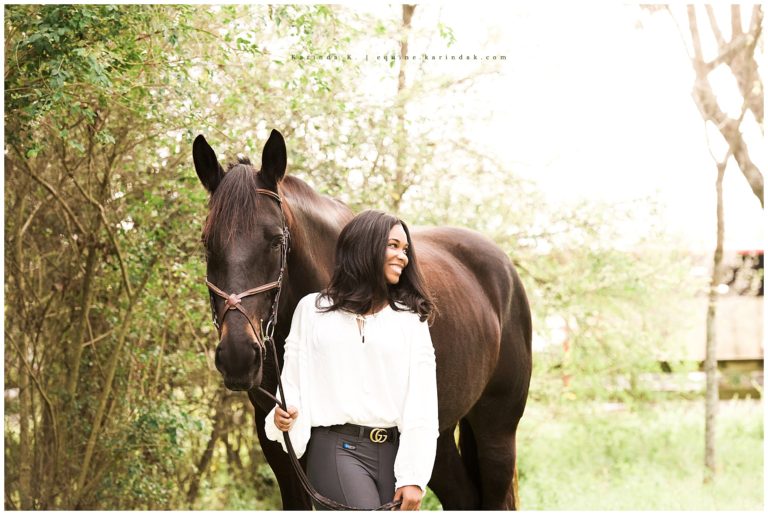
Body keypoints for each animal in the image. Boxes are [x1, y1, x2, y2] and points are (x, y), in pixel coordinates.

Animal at [192, 129, 532, 510]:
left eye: (276, 241)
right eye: (207, 244)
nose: (237, 355)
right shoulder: (281, 445)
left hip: (496, 432)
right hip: (435, 436)